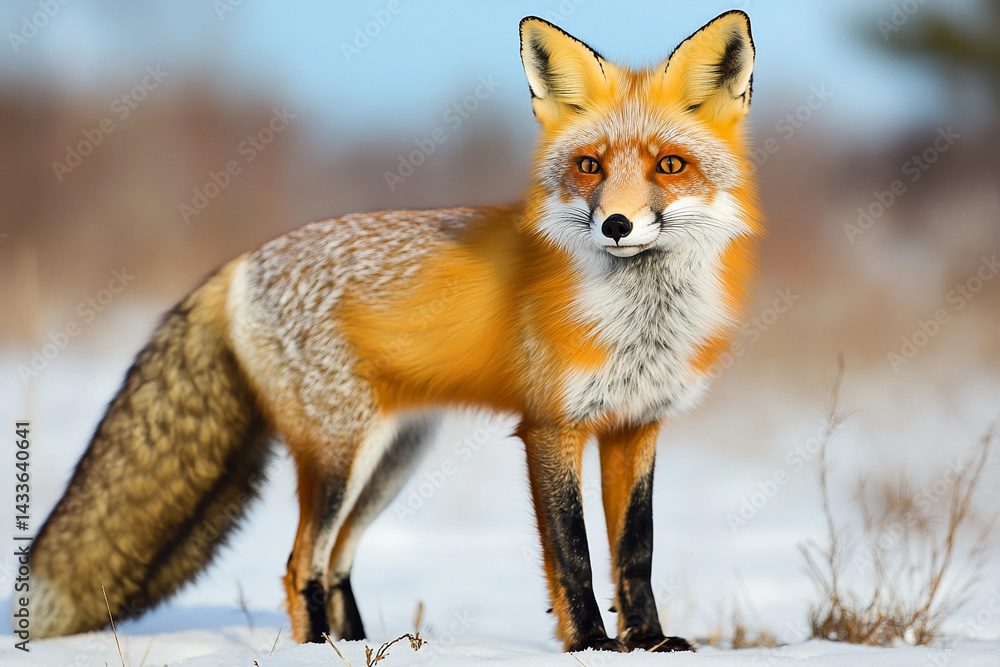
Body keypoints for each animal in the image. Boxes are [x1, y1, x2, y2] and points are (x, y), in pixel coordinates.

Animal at [25, 11, 759, 653]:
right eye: (589, 167)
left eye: (670, 165)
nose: (615, 225)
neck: (641, 320)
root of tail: (242, 260)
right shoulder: (553, 426)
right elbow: (573, 554)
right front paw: (593, 646)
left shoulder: (637, 425)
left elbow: (636, 551)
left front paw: (651, 642)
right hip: (339, 453)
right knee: (301, 563)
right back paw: (319, 650)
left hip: (393, 458)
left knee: (336, 562)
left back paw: (356, 644)